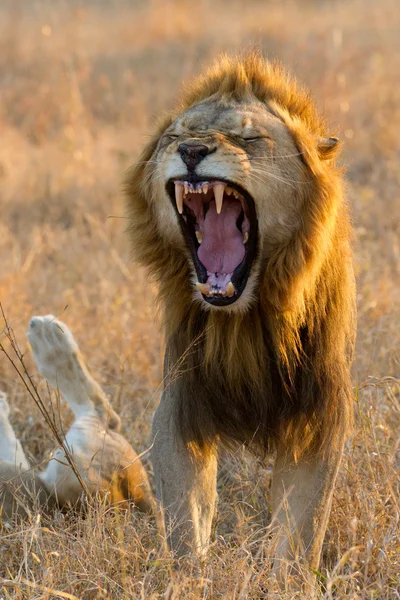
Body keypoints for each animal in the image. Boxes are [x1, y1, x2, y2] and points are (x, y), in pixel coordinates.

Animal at [126, 52, 356, 584]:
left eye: (250, 139)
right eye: (176, 134)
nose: (191, 150)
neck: (242, 323)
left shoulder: (320, 416)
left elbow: (302, 530)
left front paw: (288, 583)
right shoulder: (178, 407)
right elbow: (186, 520)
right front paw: (189, 581)